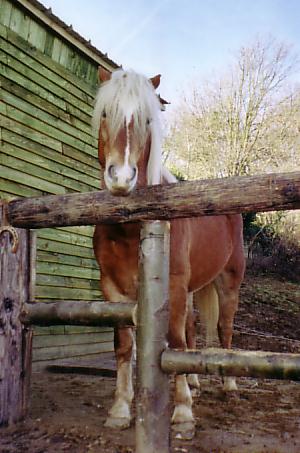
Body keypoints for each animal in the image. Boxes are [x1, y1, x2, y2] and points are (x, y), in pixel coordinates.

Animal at [92, 68, 246, 438]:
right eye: (105, 113)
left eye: (147, 119)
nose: (121, 178)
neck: (131, 227)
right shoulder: (113, 289)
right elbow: (124, 346)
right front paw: (120, 410)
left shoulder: (172, 287)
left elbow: (173, 343)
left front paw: (183, 414)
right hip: (191, 291)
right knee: (191, 331)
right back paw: (195, 382)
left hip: (227, 284)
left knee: (223, 329)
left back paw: (229, 386)